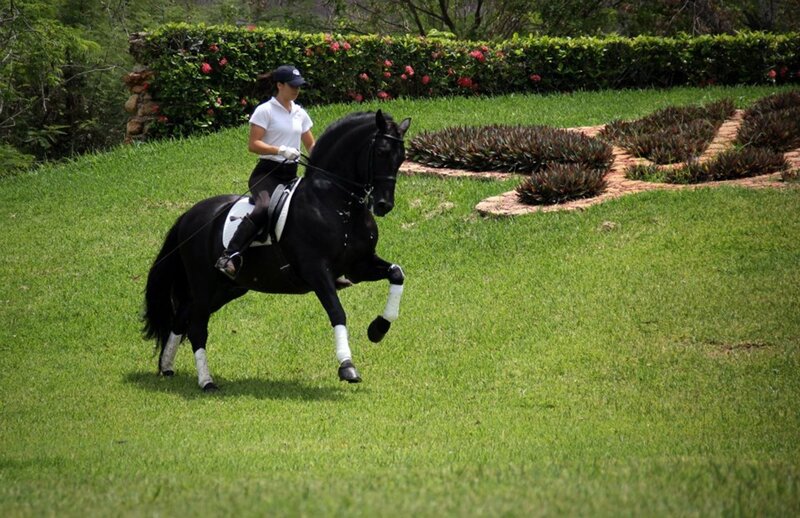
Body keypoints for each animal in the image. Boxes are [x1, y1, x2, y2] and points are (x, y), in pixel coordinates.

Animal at [142, 110, 411, 391]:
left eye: (402, 157)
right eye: (381, 151)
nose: (383, 205)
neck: (338, 204)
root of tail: (189, 215)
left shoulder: (359, 265)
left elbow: (397, 274)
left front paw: (378, 329)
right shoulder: (317, 271)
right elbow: (337, 312)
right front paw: (348, 367)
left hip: (227, 287)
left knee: (181, 318)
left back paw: (167, 367)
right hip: (204, 283)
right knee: (196, 326)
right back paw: (206, 382)